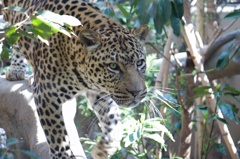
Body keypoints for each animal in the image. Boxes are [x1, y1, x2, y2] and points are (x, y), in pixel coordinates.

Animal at [1, 0, 148, 158]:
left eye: (140, 62)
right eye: (113, 66)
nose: (137, 93)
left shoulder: (99, 92)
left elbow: (115, 126)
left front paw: (101, 151)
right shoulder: (46, 95)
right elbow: (57, 135)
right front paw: (63, 155)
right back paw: (16, 69)